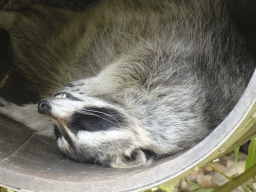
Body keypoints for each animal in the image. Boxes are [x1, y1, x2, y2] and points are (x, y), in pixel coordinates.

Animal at [0, 0, 255, 167]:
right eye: (87, 121)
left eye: (71, 129)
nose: (44, 106)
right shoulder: (183, 78)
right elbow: (145, 56)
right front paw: (99, 81)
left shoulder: (180, 95)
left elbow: (142, 59)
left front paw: (21, 112)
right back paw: (8, 16)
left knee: (36, 33)